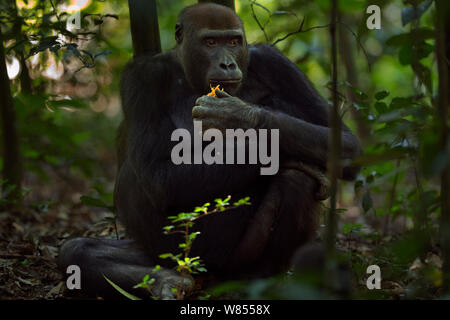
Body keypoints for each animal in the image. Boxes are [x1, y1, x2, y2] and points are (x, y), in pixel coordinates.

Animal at [59, 2, 362, 298]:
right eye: (211, 42)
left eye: (234, 41)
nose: (227, 64)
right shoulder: (143, 77)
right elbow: (159, 174)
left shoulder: (276, 63)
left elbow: (346, 145)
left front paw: (241, 117)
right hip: (169, 257)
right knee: (76, 253)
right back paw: (163, 282)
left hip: (234, 260)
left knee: (297, 181)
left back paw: (258, 279)